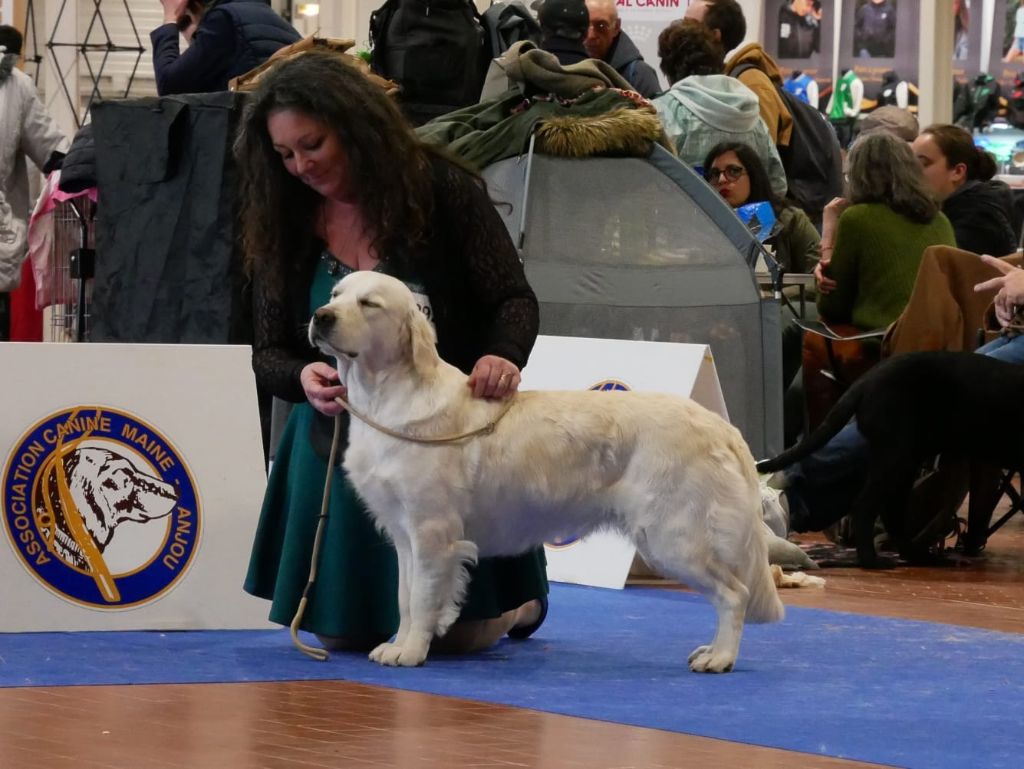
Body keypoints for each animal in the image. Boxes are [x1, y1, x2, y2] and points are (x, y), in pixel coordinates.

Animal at [307, 274, 778, 671]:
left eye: (369, 303)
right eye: (335, 294)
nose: (321, 316)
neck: (387, 397)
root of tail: (721, 426)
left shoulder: (432, 531)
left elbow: (423, 599)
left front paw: (411, 652)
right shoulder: (405, 536)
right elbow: (405, 597)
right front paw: (397, 644)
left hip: (672, 536)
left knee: (734, 593)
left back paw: (719, 657)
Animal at [757, 352, 1019, 561]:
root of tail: (865, 380)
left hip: (905, 460)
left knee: (891, 512)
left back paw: (916, 555)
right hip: (896, 457)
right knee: (867, 506)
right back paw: (873, 560)